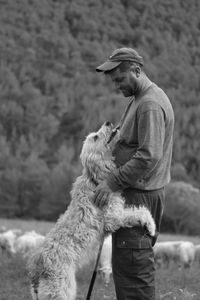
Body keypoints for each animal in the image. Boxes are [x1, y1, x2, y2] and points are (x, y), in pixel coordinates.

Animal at [27, 121, 155, 300]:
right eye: (95, 137)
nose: (108, 122)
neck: (95, 180)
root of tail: (36, 269)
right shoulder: (113, 217)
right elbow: (138, 212)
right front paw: (151, 225)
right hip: (61, 290)